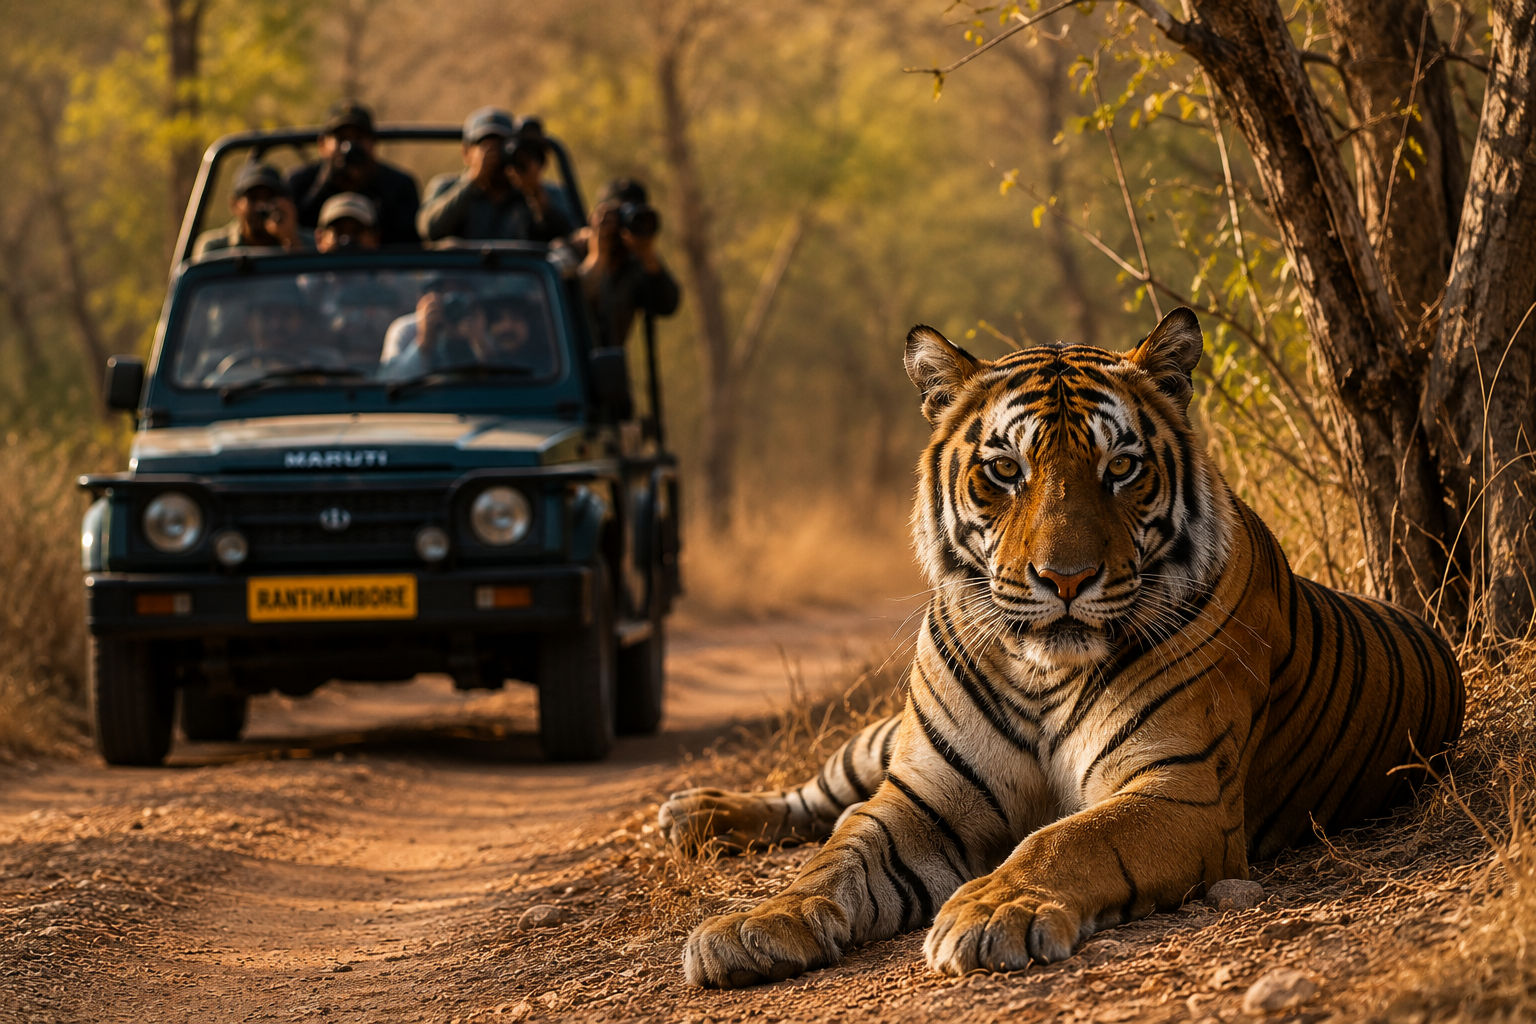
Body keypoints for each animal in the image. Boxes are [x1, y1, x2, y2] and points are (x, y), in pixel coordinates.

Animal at [659, 307, 1464, 988]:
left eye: (1122, 468)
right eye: (1004, 470)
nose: (1067, 578)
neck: (1040, 670)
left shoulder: (1180, 789)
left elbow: (1068, 840)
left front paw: (993, 911)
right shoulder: (923, 793)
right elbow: (838, 854)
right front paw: (755, 924)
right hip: (880, 744)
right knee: (817, 794)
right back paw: (695, 812)